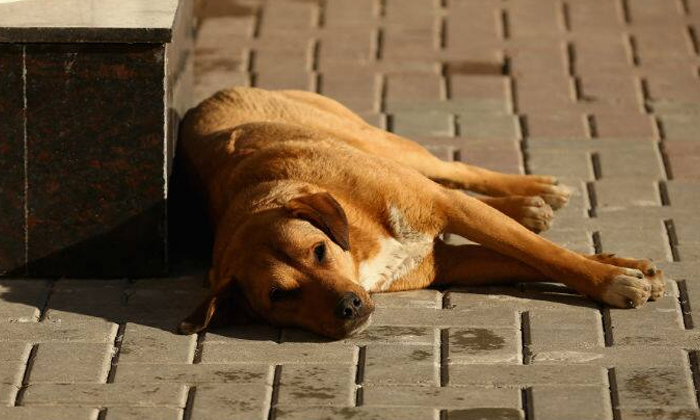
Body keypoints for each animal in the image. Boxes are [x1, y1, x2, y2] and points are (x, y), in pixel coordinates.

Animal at [176, 87, 668, 340]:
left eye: (318, 250)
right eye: (280, 295)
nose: (349, 306)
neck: (359, 243)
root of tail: (209, 97)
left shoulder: (448, 209)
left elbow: (546, 254)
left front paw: (611, 278)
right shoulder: (445, 262)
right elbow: (530, 259)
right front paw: (624, 268)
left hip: (381, 143)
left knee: (453, 171)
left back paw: (535, 190)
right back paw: (529, 207)